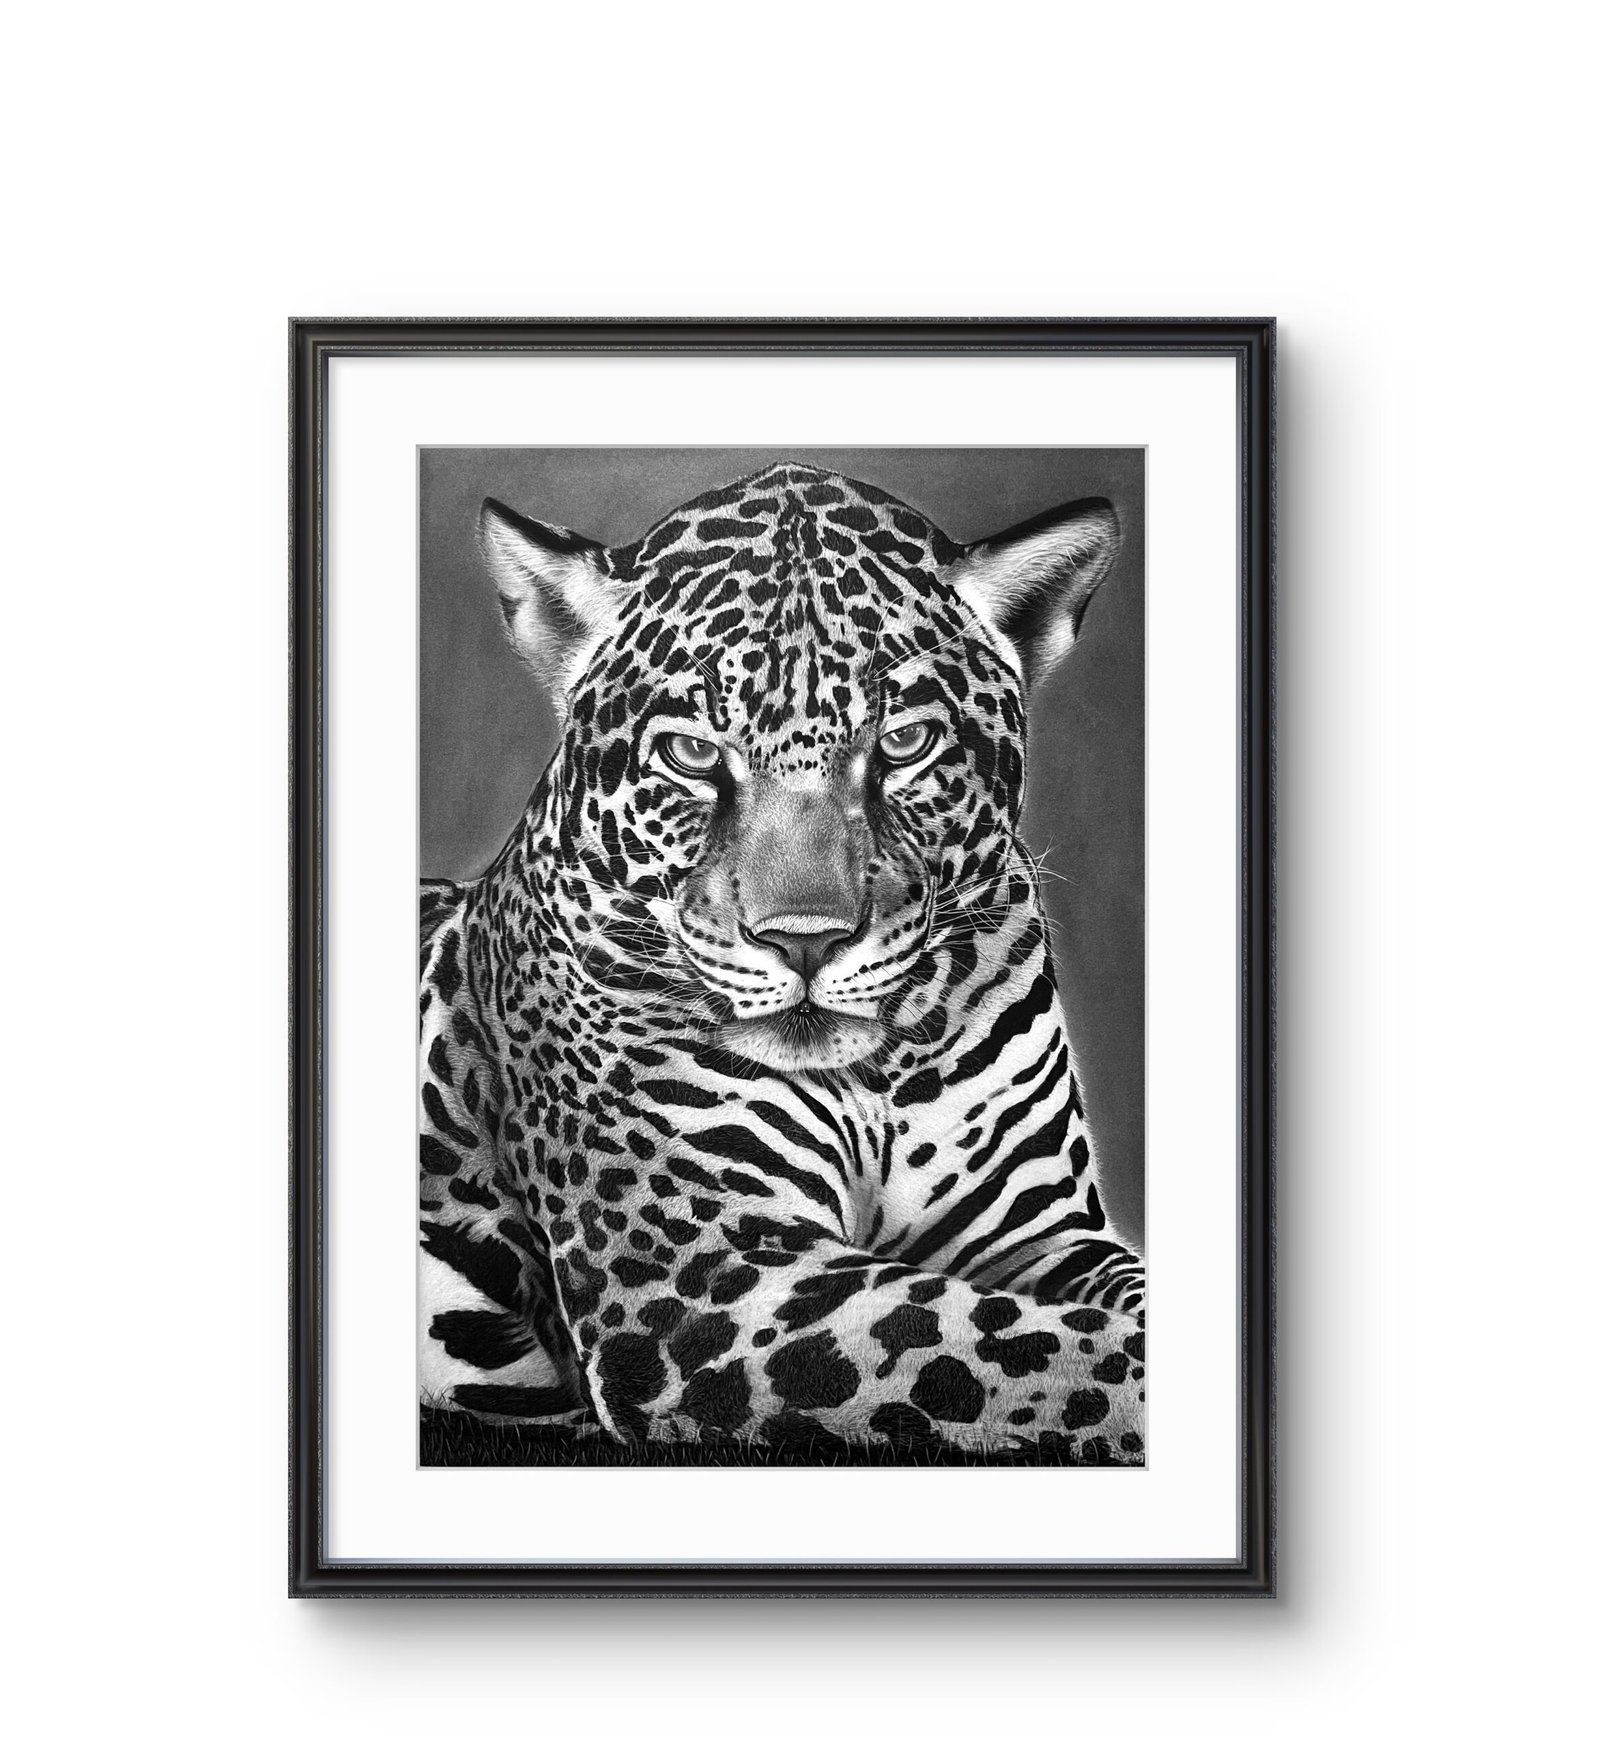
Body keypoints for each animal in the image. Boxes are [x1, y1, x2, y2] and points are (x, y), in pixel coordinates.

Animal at [418, 461, 1146, 1461]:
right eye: (692, 753)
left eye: (904, 744)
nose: (805, 939)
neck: (875, 1080)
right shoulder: (713, 1280)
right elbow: (1046, 1352)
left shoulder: (1044, 1231)